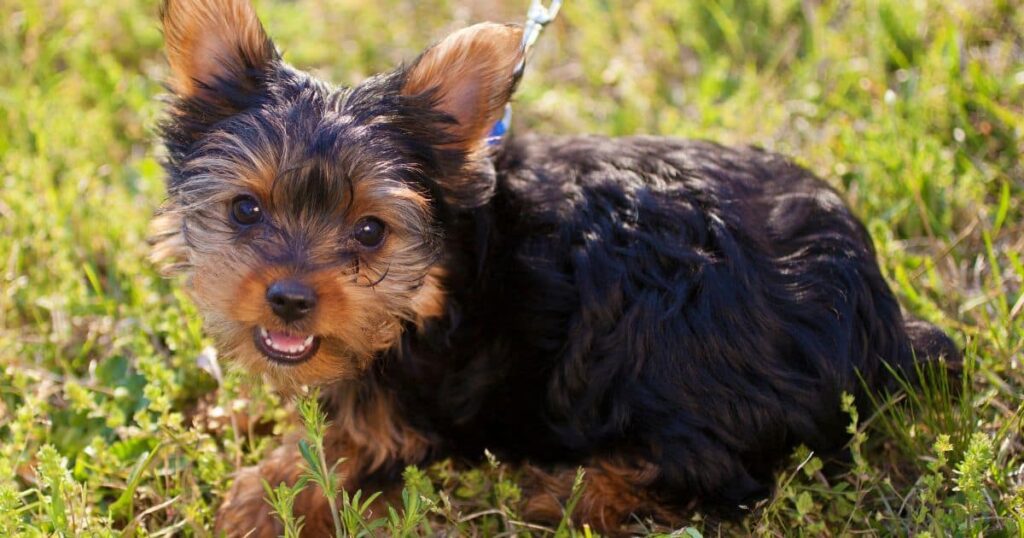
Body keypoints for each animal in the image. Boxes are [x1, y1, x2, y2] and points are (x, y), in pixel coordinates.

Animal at [151, 0, 958, 532]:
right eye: (245, 211)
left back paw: (569, 493)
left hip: (675, 329)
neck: (443, 276)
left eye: (371, 231)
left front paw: (263, 499)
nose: (289, 298)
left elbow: (345, 446)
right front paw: (227, 411)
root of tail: (881, 318)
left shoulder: (416, 399)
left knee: (720, 471)